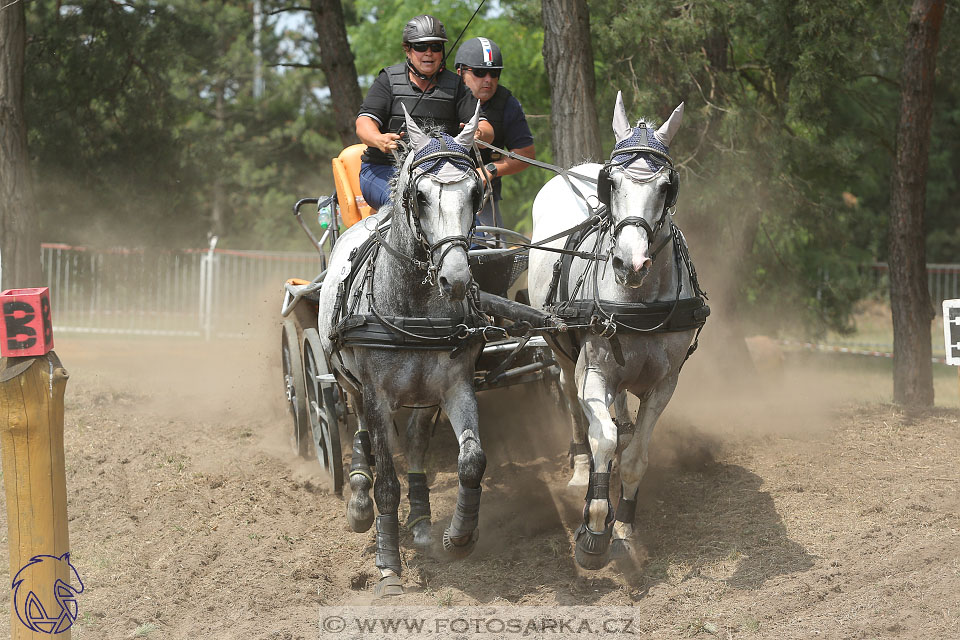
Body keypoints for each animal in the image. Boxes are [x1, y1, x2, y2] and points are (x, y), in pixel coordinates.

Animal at [320, 107, 492, 596]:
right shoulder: (377, 393)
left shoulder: (454, 386)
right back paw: (360, 496)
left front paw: (459, 536)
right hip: (348, 380)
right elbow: (386, 484)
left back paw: (420, 522)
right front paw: (388, 567)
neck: (412, 304)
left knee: (415, 442)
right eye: (420, 195)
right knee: (360, 430)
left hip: (422, 394)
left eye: (476, 191)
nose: (456, 279)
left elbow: (472, 460)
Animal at [524, 92, 704, 568]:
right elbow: (601, 438)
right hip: (561, 352)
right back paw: (580, 473)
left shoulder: (665, 383)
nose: (629, 263)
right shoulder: (594, 372)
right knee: (574, 409)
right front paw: (593, 529)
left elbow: (636, 455)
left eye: (665, 186)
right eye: (613, 182)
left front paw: (623, 522)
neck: (638, 302)